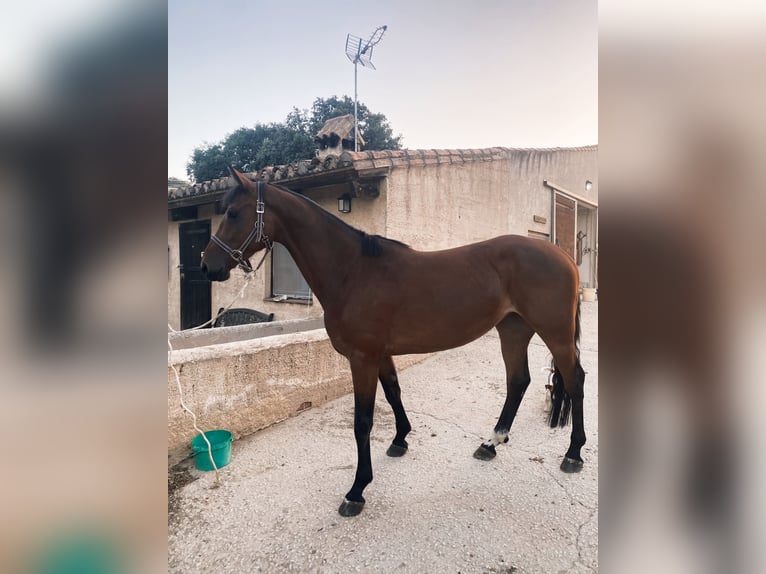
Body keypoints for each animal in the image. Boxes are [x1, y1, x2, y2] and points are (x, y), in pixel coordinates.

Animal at [201, 169, 584, 520]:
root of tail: (563, 256)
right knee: (518, 381)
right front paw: (400, 439)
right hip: (513, 330)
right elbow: (394, 392)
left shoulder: (362, 358)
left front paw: (357, 490)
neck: (353, 271)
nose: (208, 266)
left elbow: (363, 421)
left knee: (574, 379)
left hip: (555, 334)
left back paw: (573, 454)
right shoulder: (380, 355)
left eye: (233, 212)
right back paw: (491, 443)